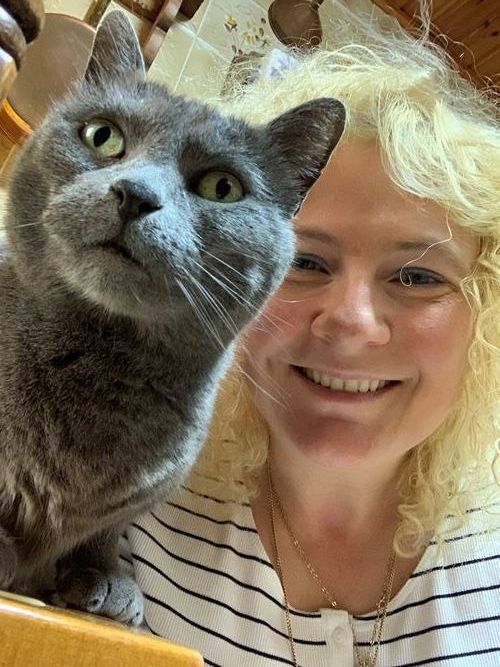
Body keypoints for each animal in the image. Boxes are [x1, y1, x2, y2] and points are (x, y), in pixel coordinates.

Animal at [0, 11, 345, 624]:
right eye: (103, 136)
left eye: (221, 186)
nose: (135, 194)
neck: (99, 365)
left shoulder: (141, 497)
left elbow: (103, 532)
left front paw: (105, 578)